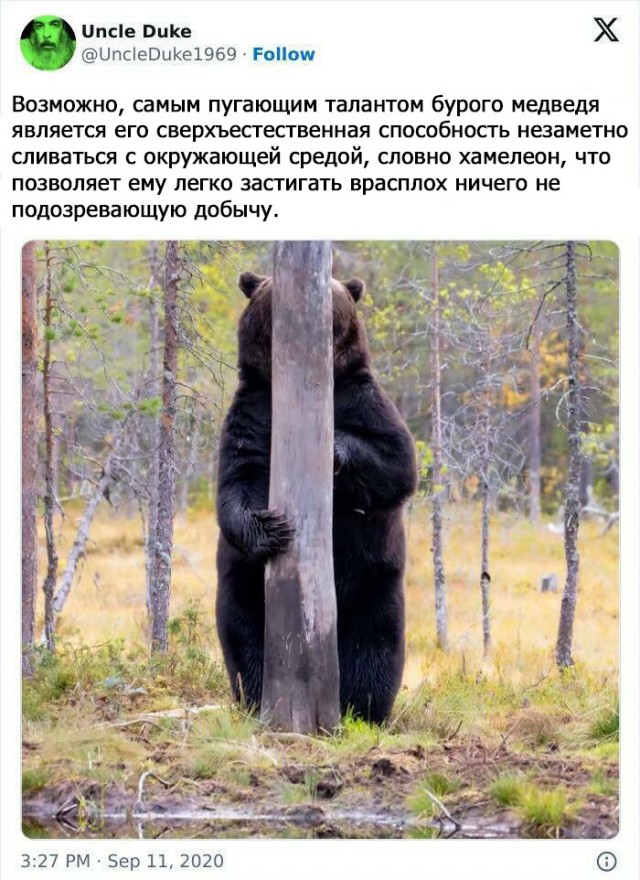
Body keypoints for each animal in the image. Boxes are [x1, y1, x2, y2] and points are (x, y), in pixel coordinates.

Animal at [215, 271, 417, 724]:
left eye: (335, 289)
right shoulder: (253, 413)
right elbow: (237, 481)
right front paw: (271, 528)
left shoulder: (363, 399)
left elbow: (396, 462)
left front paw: (335, 448)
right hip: (244, 588)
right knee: (245, 638)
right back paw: (256, 697)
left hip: (373, 584)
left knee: (374, 647)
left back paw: (364, 708)